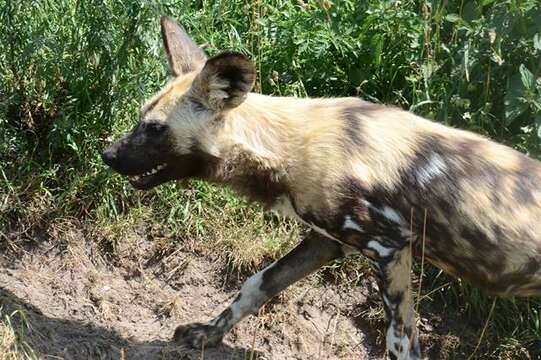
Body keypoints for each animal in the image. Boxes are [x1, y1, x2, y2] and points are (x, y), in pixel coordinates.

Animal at [101, 16, 540, 360]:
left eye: (155, 129)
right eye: (140, 118)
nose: (107, 154)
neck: (285, 147)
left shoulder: (389, 249)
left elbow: (400, 342)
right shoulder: (326, 241)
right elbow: (255, 285)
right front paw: (208, 334)